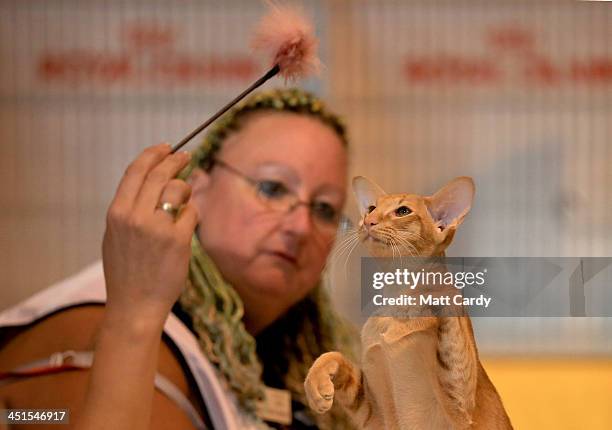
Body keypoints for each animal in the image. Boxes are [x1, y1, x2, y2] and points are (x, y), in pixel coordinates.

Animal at [304, 176, 512, 428]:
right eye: (372, 208)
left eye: (403, 211)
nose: (368, 221)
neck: (397, 302)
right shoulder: (373, 415)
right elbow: (333, 355)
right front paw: (315, 384)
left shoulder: (461, 404)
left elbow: (451, 333)